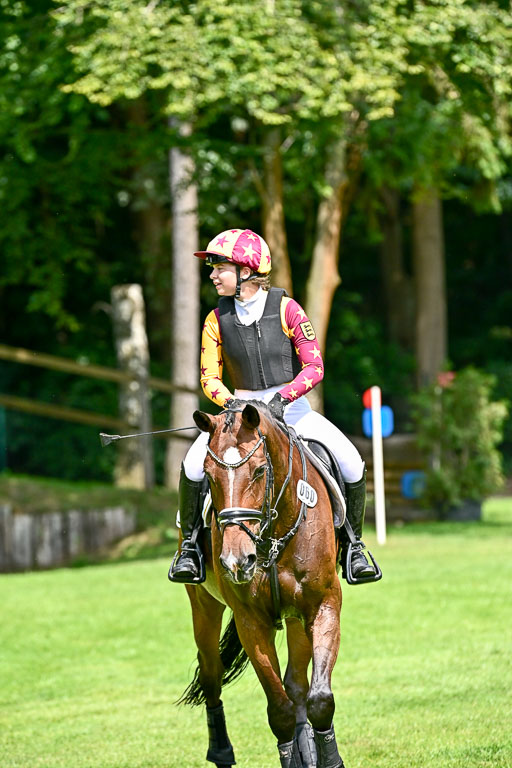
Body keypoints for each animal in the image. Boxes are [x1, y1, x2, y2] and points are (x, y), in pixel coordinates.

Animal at [179, 401, 345, 768]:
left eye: (258, 471)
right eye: (208, 474)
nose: (236, 561)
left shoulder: (322, 607)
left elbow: (320, 699)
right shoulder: (250, 621)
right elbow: (279, 711)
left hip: (297, 618)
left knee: (296, 684)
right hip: (203, 605)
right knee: (211, 675)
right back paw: (221, 752)